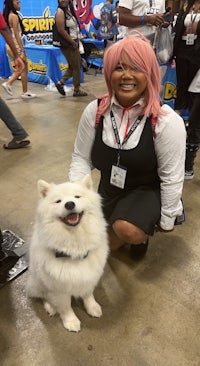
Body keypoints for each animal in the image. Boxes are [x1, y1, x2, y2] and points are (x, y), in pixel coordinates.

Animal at [26, 174, 109, 332]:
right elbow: (65, 307)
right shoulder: (59, 288)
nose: (69, 204)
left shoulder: (89, 277)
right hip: (38, 281)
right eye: (58, 201)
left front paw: (92, 307)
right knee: (43, 296)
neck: (74, 246)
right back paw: (51, 307)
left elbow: (88, 295)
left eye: (77, 196)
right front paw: (71, 321)